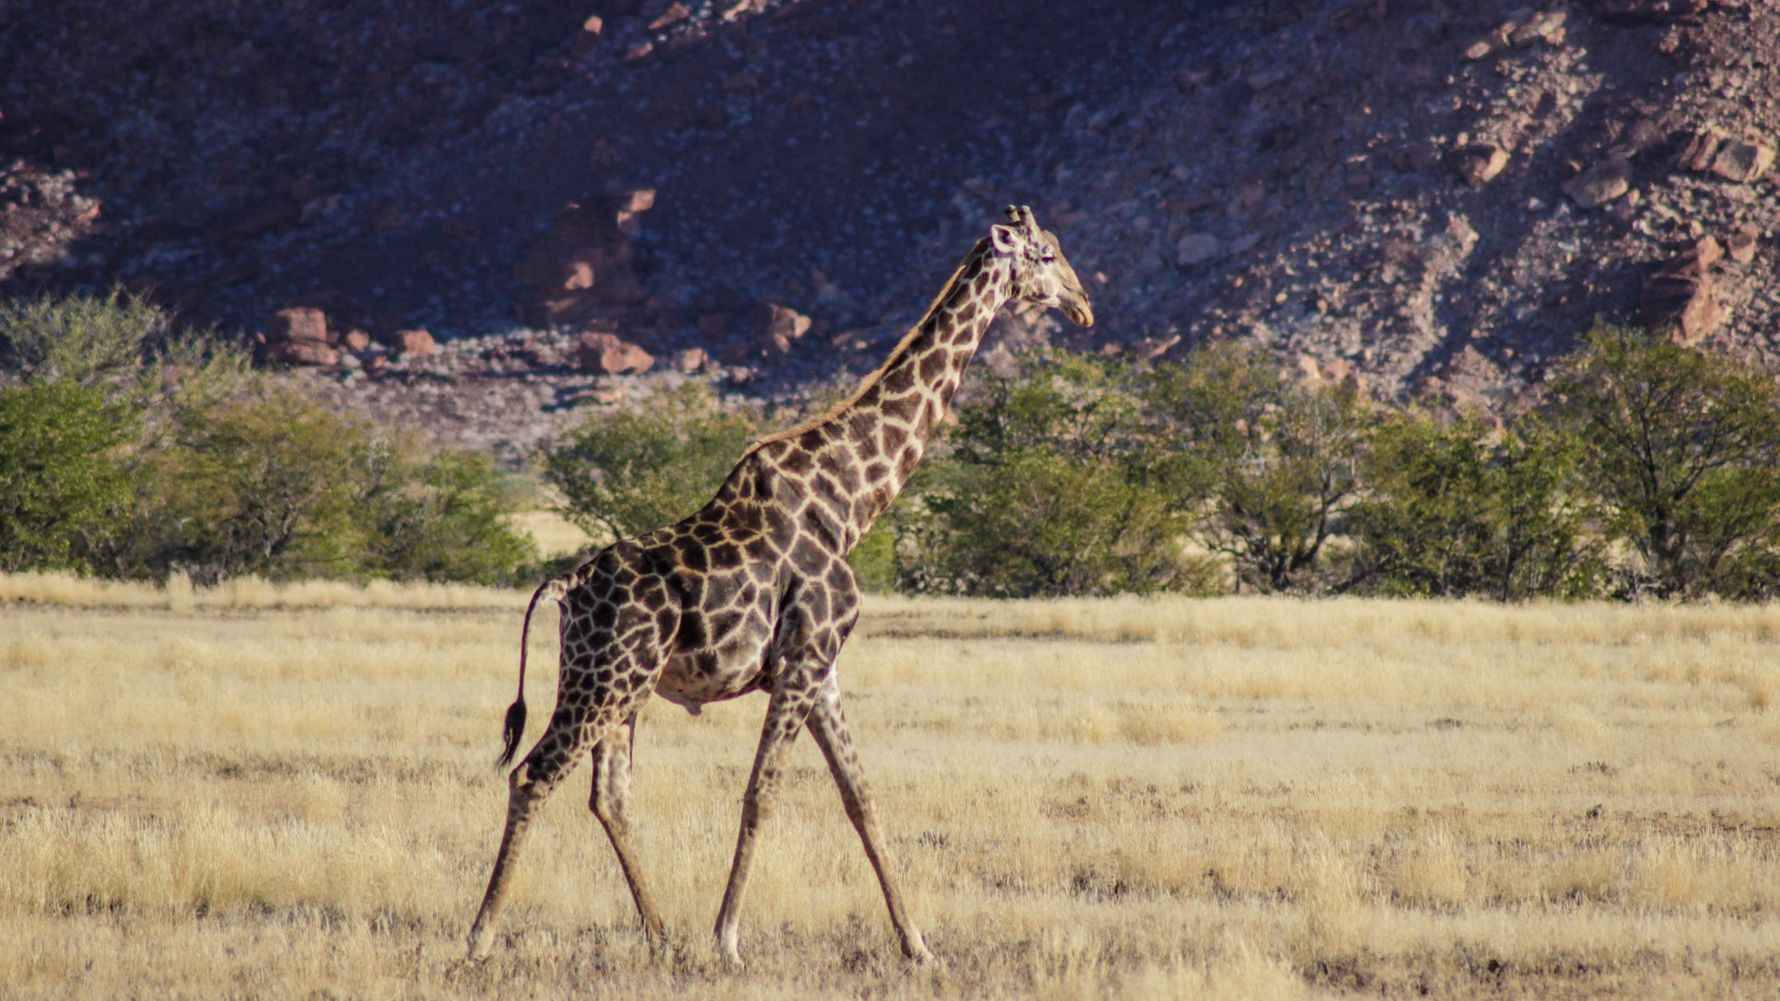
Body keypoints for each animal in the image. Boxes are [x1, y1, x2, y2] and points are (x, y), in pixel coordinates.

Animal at [466, 205, 1094, 967]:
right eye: (1046, 253)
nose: (1084, 306)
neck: (851, 500)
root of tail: (566, 585)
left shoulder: (822, 667)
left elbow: (861, 797)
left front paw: (918, 944)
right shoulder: (801, 661)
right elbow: (762, 793)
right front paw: (729, 941)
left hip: (623, 689)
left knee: (607, 796)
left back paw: (661, 935)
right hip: (604, 681)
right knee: (533, 776)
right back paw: (481, 935)